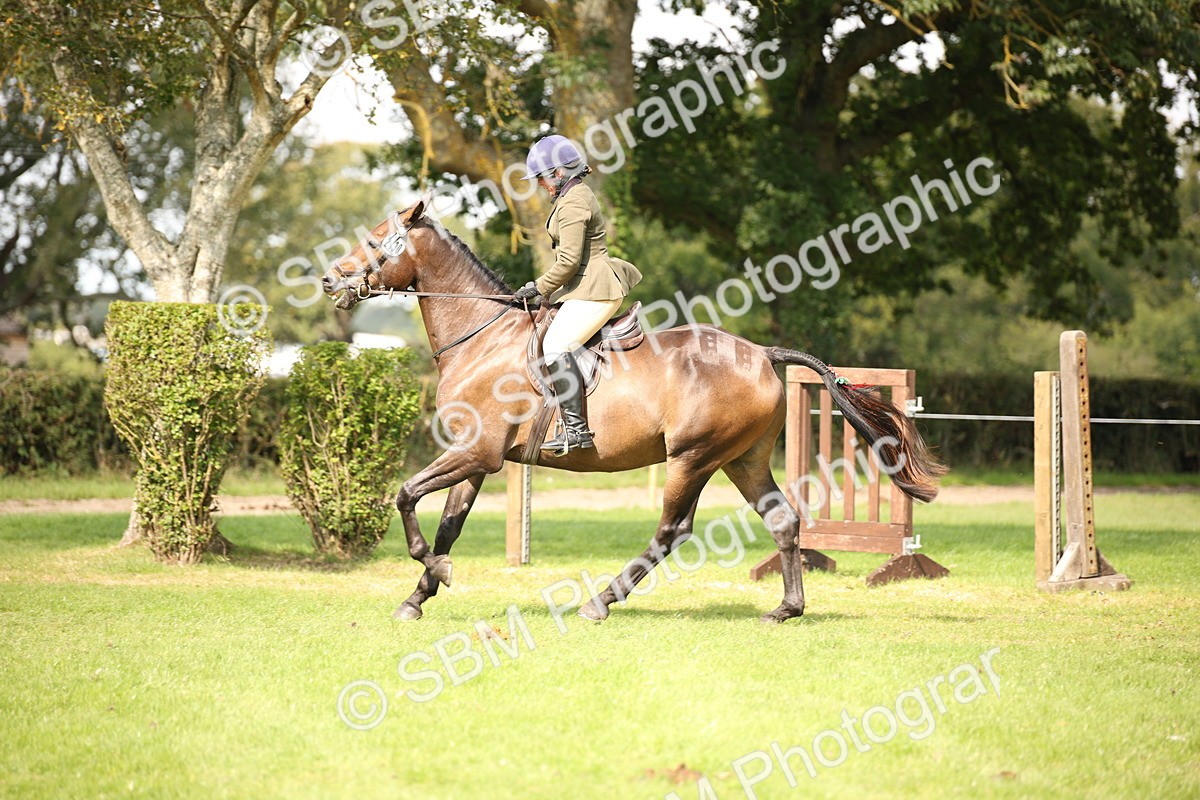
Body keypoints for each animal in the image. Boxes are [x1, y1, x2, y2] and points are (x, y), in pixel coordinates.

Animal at [321, 198, 945, 624]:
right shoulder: (475, 458)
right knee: (783, 521)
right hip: (744, 459)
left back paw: (601, 600)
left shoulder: (477, 452)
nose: (329, 280)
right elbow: (449, 523)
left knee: (672, 529)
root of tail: (763, 353)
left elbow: (406, 495)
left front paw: (433, 569)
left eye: (377, 242)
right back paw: (786, 608)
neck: (481, 336)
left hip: (692, 457)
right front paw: (420, 594)